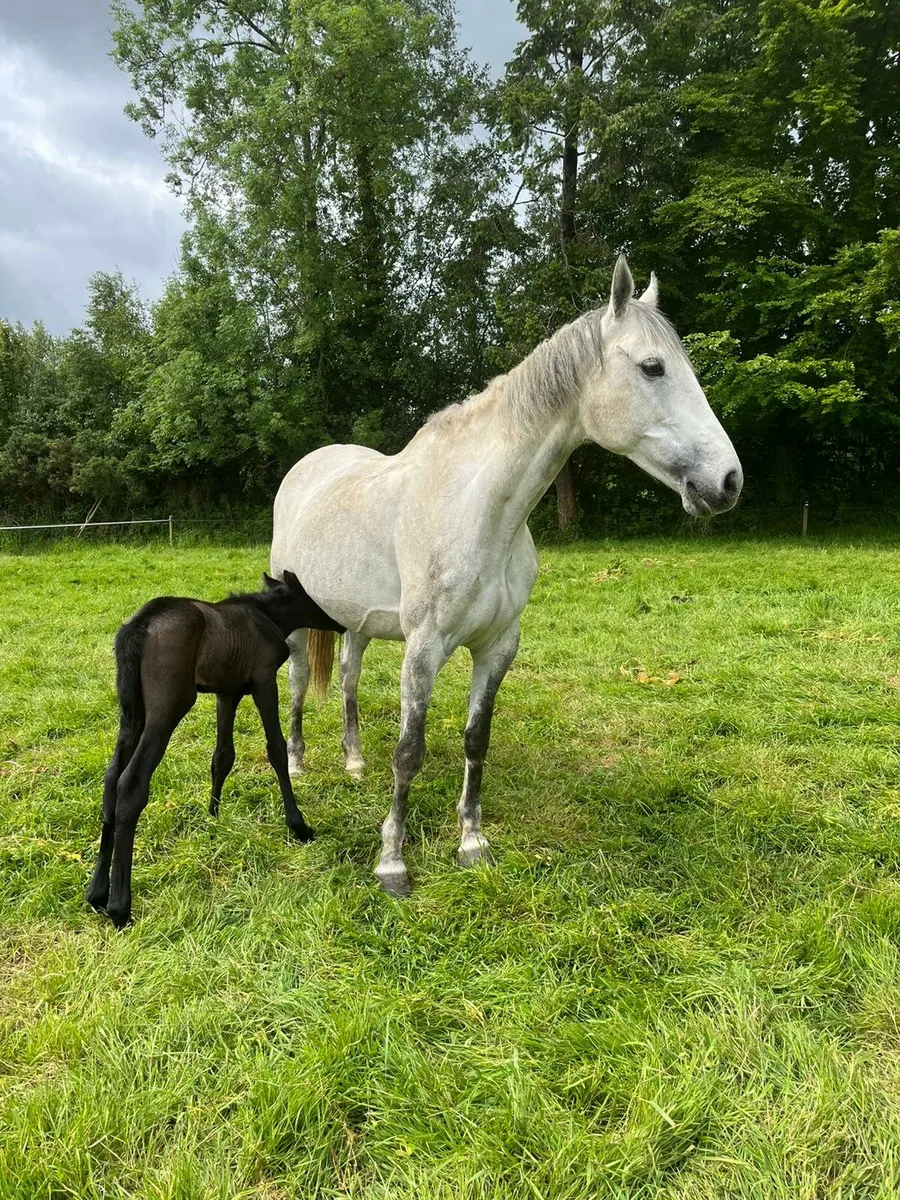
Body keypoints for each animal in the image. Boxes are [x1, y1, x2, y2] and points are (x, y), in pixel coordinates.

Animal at [85, 570, 345, 927]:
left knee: (111, 779)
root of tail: (138, 625)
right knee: (131, 783)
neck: (268, 616)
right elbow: (276, 748)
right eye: (313, 599)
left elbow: (222, 756)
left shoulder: (227, 692)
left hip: (130, 714)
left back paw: (97, 892)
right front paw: (298, 824)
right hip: (168, 706)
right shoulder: (264, 680)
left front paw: (213, 818)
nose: (340, 623)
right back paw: (120, 907)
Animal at [270, 256, 743, 896]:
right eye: (653, 367)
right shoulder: (424, 648)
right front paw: (392, 861)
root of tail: (305, 468)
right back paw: (297, 762)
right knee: (297, 680)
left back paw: (353, 763)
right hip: (296, 616)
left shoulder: (497, 646)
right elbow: (410, 751)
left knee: (346, 679)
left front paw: (471, 842)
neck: (478, 508)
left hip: (359, 623)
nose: (728, 481)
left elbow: (476, 740)